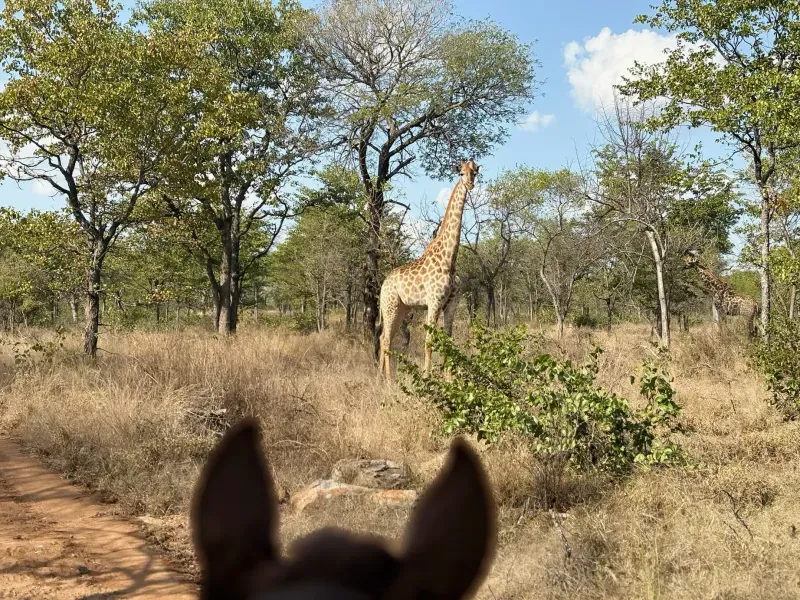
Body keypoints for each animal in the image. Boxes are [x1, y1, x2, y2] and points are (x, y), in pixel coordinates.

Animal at [378, 159, 479, 379]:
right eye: (460, 173)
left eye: (475, 172)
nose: (470, 184)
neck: (449, 259)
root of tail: (382, 285)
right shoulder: (433, 302)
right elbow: (429, 342)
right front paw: (427, 379)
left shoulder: (450, 304)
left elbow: (449, 341)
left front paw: (450, 381)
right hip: (390, 306)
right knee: (386, 339)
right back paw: (389, 382)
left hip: (401, 308)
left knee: (382, 337)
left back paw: (379, 378)